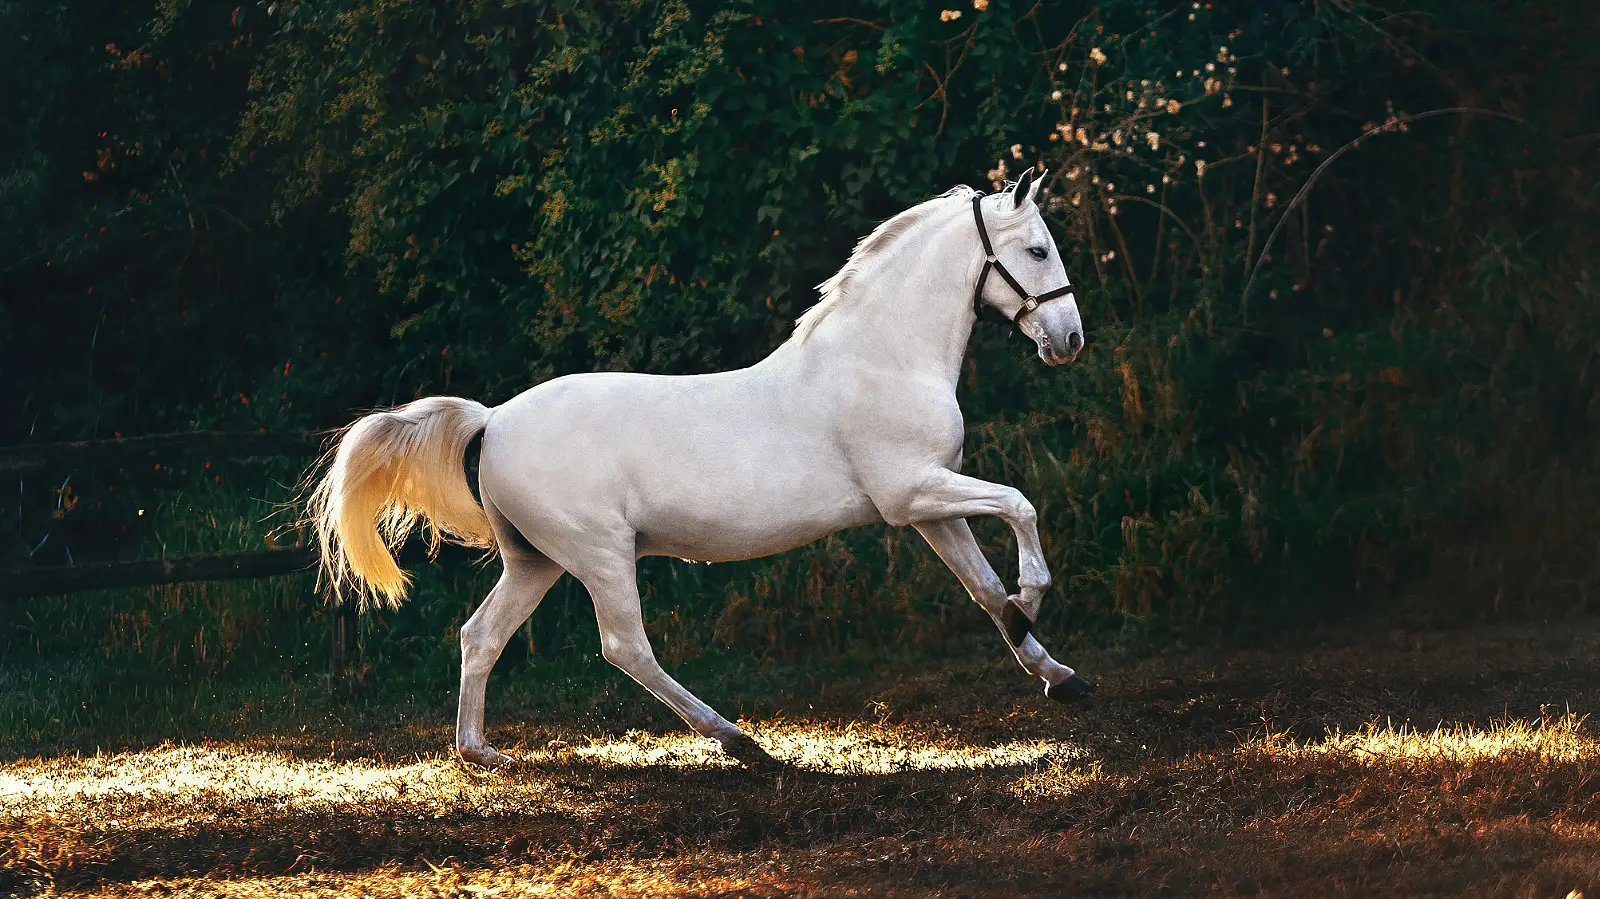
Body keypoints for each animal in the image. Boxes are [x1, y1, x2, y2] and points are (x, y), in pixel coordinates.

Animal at [308, 167, 1094, 769]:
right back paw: (739, 741)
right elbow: (1020, 505)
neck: (882, 359)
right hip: (599, 554)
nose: (1069, 340)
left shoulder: (933, 507)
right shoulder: (913, 494)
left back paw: (480, 751)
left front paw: (1057, 673)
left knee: (481, 636)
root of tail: (494, 419)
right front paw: (1034, 596)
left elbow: (985, 589)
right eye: (1036, 249)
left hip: (535, 560)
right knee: (626, 646)